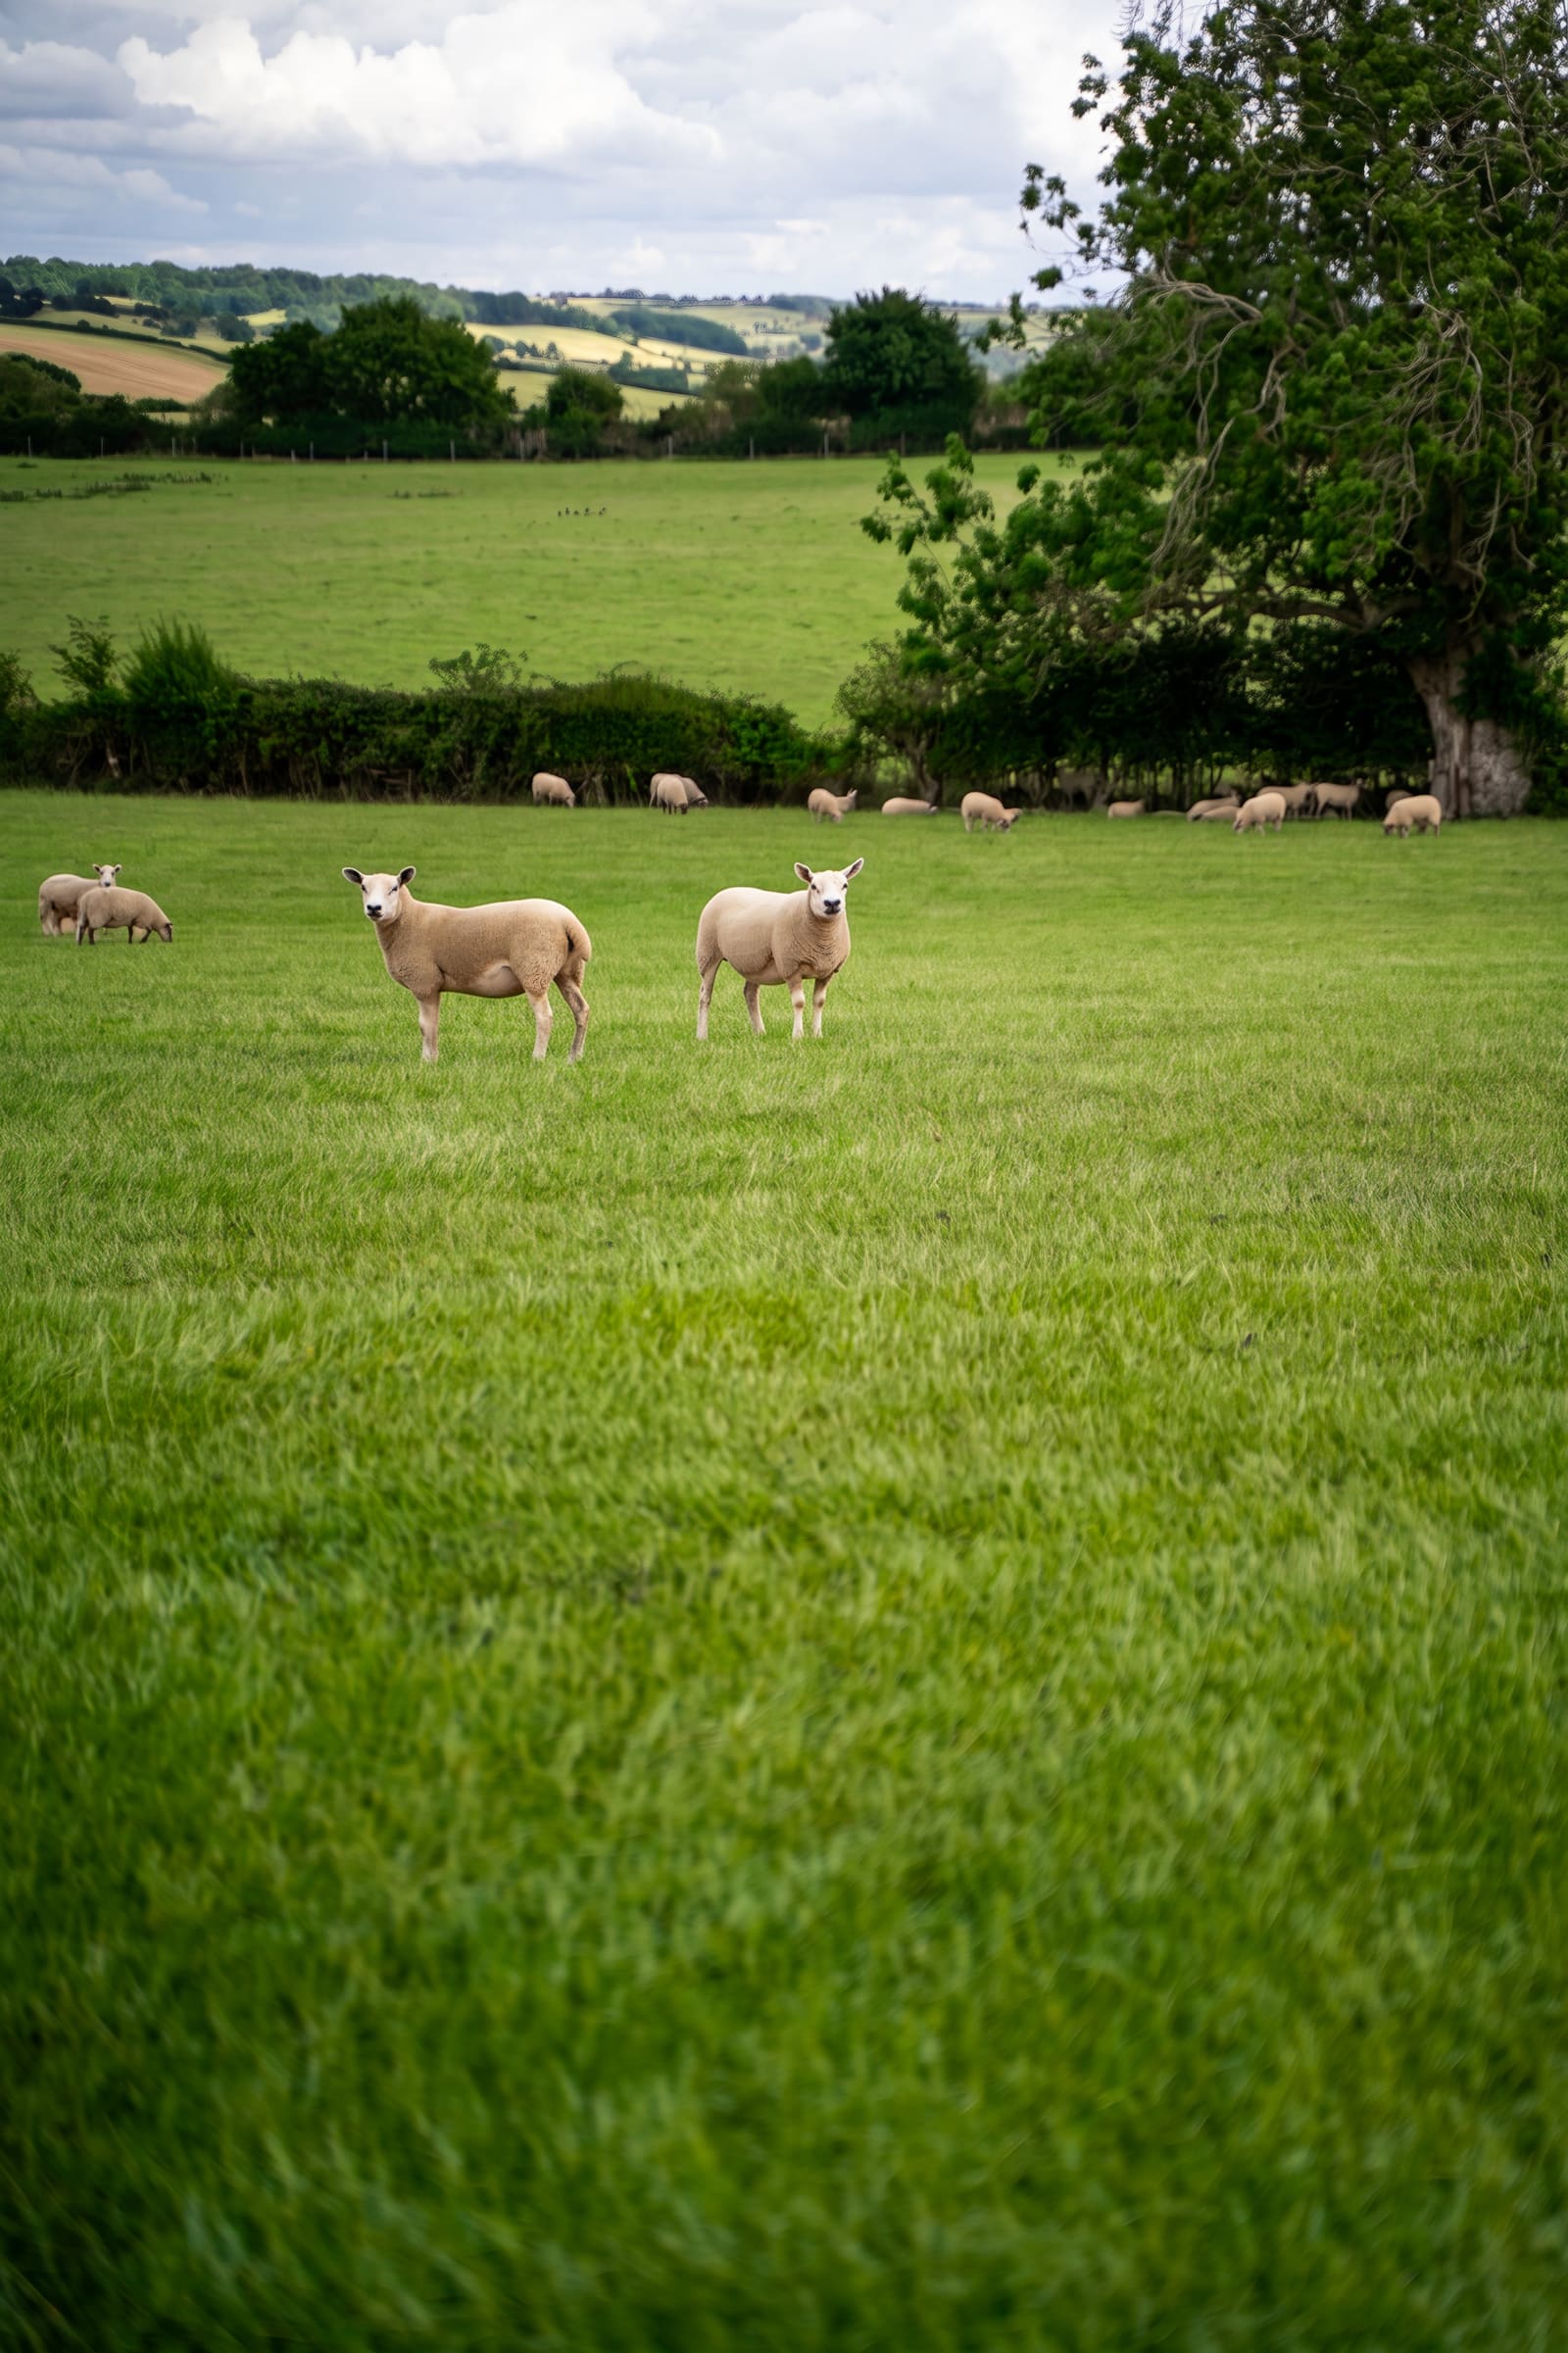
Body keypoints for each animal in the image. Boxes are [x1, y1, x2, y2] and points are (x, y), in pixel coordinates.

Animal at [342, 865, 590, 1064]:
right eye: (363, 887)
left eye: (394, 888)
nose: (374, 908)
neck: (409, 918)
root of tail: (569, 922)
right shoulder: (430, 984)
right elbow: (432, 1024)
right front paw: (432, 1058)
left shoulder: (425, 982)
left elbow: (426, 1025)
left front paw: (428, 1061)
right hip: (566, 971)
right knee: (581, 1010)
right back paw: (574, 1057)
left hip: (534, 969)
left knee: (545, 1017)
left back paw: (537, 1058)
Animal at [695, 859, 862, 1043]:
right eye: (813, 886)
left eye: (845, 885)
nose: (832, 903)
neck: (823, 939)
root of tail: (726, 890)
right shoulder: (791, 966)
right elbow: (799, 1002)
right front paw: (798, 1036)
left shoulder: (827, 971)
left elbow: (819, 1002)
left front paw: (817, 1035)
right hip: (707, 953)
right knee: (705, 995)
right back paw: (702, 1035)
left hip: (754, 963)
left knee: (750, 993)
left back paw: (760, 1032)